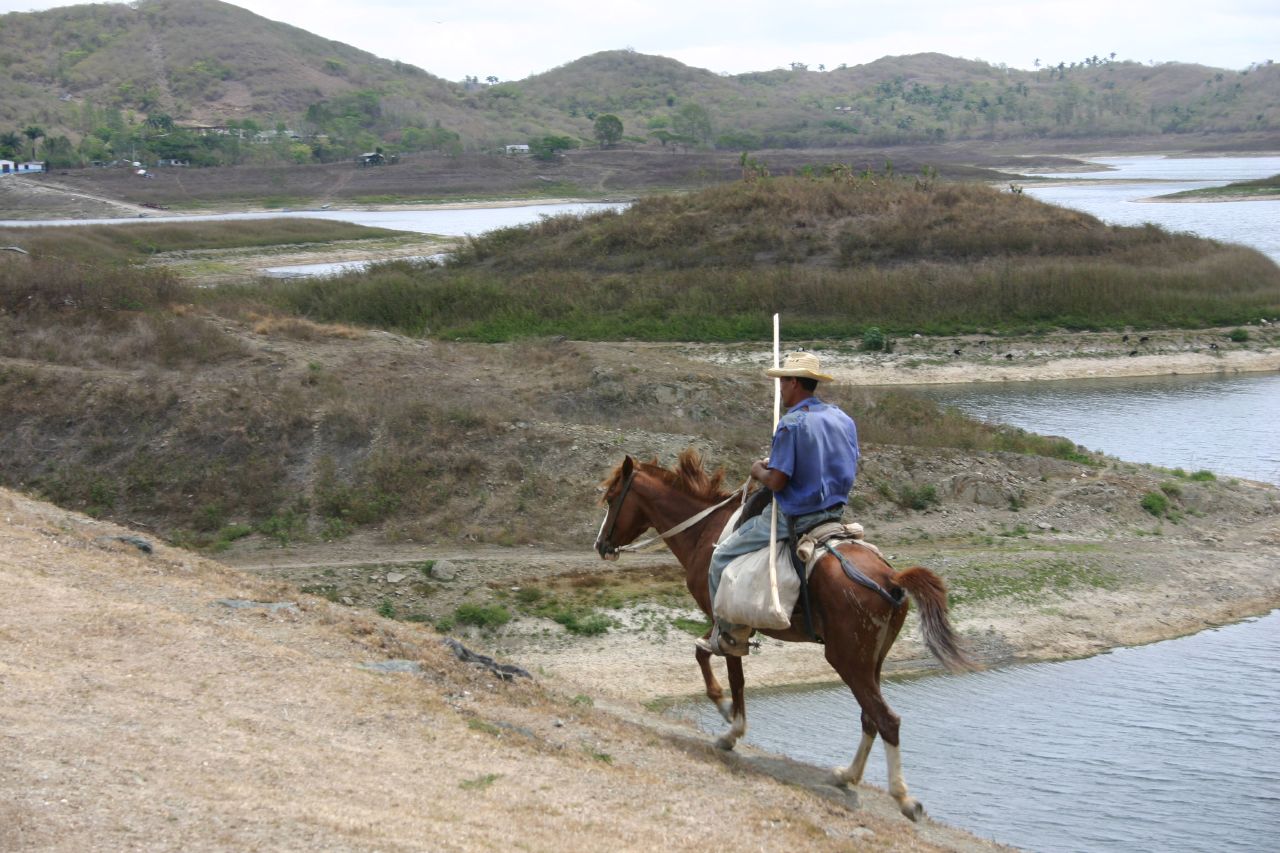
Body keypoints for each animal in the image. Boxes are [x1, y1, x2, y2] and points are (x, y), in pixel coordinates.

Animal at [596, 448, 967, 819]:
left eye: (612, 498)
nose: (601, 544)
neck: (706, 530)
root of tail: (891, 579)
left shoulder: (727, 620)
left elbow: (729, 671)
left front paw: (730, 723)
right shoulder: (726, 619)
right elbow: (704, 654)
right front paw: (727, 711)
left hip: (848, 659)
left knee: (885, 719)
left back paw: (902, 797)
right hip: (871, 659)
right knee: (870, 717)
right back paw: (846, 775)